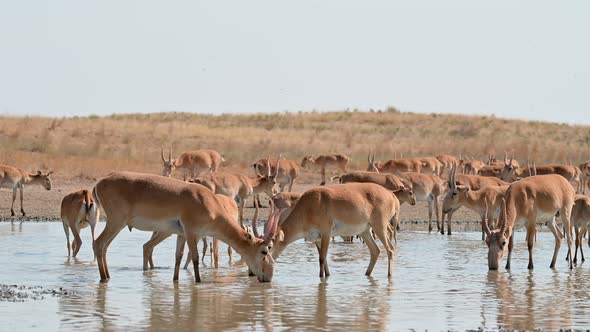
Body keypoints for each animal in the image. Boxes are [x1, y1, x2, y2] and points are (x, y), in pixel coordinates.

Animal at [93, 171, 282, 282]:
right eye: (264, 251)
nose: (269, 276)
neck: (209, 202)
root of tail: (100, 182)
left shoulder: (181, 234)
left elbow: (179, 256)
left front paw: (176, 280)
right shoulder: (191, 232)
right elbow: (195, 257)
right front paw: (198, 282)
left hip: (116, 224)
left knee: (105, 247)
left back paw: (108, 276)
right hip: (116, 222)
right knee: (99, 243)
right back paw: (104, 278)